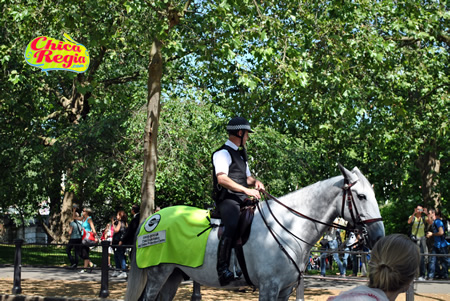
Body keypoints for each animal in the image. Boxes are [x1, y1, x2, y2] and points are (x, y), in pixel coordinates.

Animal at [125, 164, 384, 300]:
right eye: (362, 196)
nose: (379, 236)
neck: (288, 227)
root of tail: (152, 219)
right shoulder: (269, 287)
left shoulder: (285, 289)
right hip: (158, 275)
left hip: (174, 275)